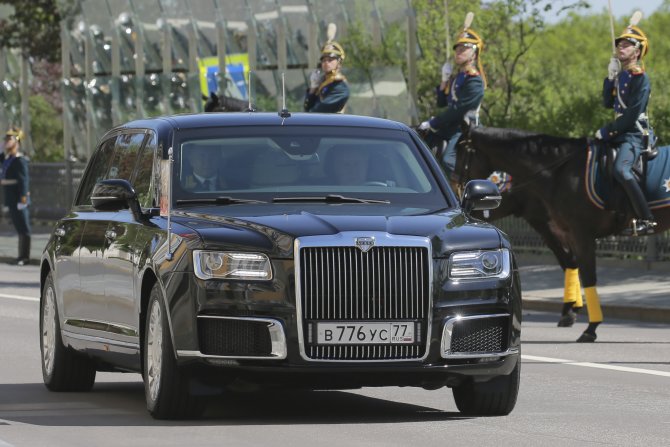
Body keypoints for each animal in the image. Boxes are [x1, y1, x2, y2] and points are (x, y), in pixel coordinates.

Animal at [454, 126, 668, 344]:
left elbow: (587, 275)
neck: (560, 172)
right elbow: (572, 266)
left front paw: (590, 327)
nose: (459, 191)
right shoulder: (565, 231)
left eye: (460, 153)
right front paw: (573, 313)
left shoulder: (578, 233)